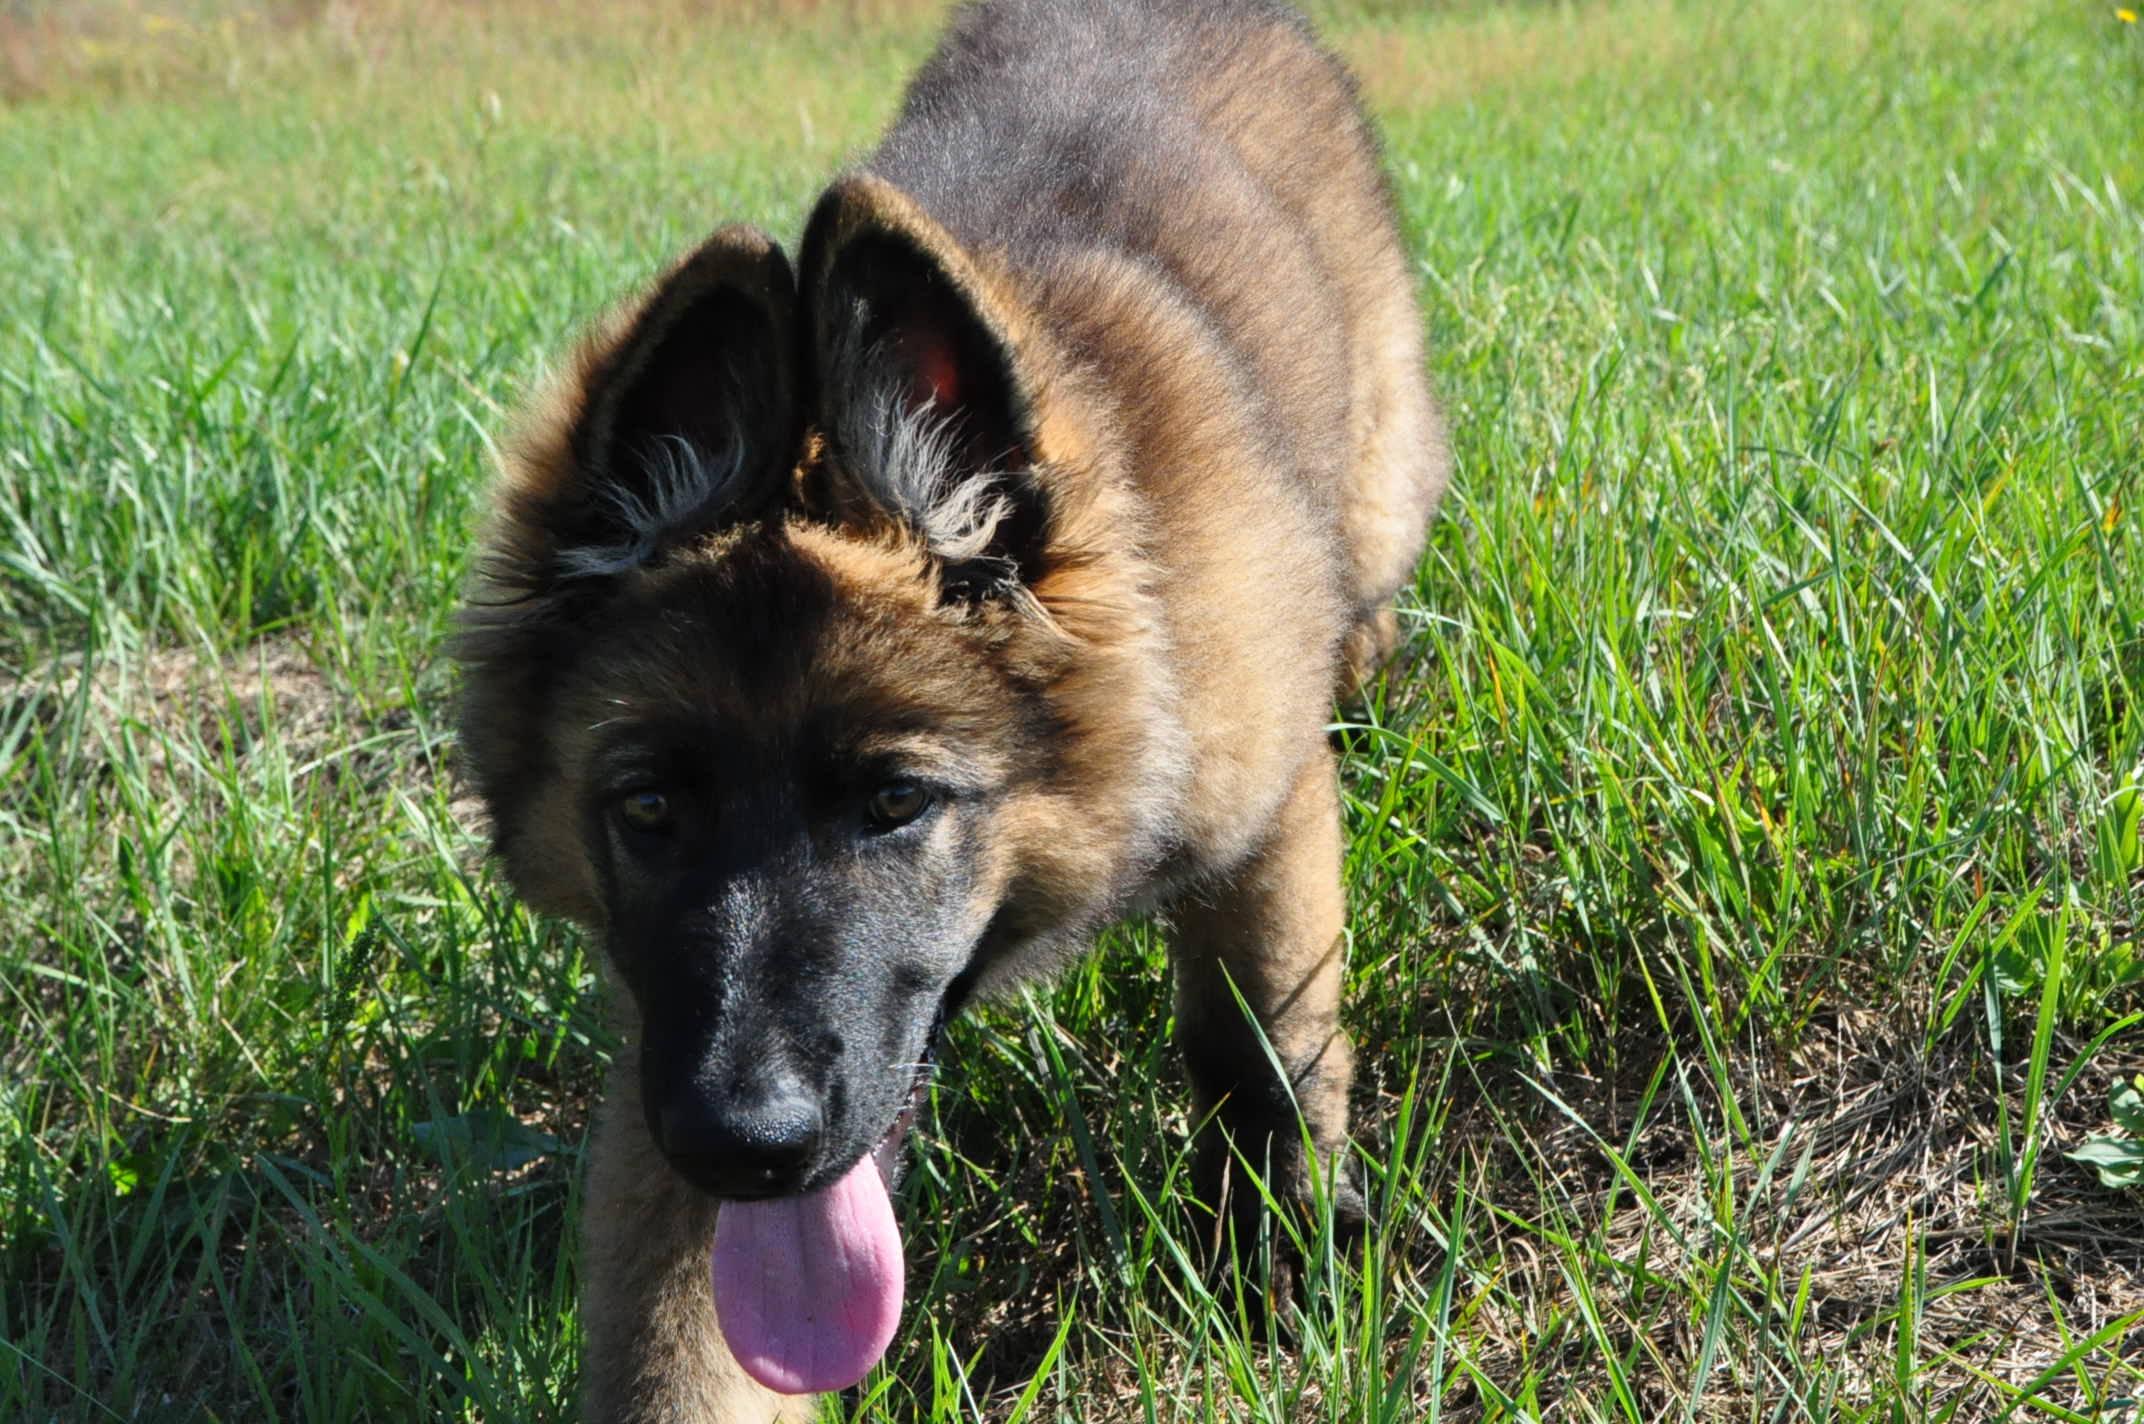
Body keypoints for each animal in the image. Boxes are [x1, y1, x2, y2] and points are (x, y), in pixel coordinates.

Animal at [455, 0, 1446, 1416]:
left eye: (895, 800)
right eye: (645, 807)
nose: (744, 1140)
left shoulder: (1263, 824)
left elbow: (1261, 1049)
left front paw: (1283, 1269)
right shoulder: (675, 1062)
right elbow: (681, 1349)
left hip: (1375, 492)